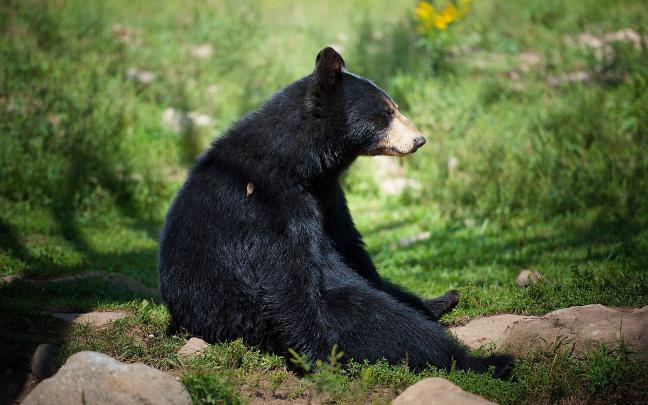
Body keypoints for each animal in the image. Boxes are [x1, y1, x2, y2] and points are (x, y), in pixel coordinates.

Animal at [158, 47, 513, 377]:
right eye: (387, 112)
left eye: (395, 107)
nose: (419, 139)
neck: (301, 162)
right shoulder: (266, 203)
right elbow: (287, 278)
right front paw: (320, 359)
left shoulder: (327, 194)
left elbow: (351, 248)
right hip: (247, 317)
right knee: (384, 322)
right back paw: (488, 361)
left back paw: (443, 300)